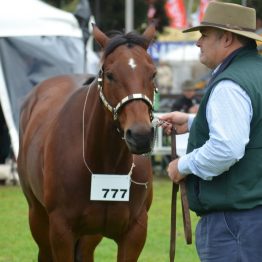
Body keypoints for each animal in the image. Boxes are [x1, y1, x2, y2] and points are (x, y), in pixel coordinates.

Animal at [17, 23, 159, 260]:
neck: (106, 166)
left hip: (89, 237)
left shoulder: (135, 232)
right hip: (38, 218)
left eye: (153, 74)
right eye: (110, 75)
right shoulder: (61, 231)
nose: (140, 136)